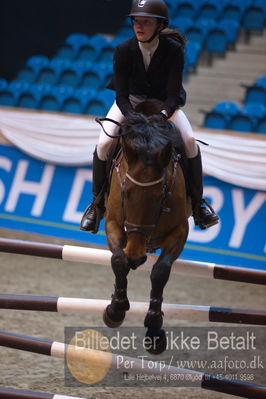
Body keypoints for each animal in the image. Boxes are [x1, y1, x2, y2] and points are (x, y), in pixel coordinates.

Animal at [98, 103, 190, 356]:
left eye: (161, 195)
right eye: (126, 192)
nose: (136, 255)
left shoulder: (180, 230)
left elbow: (160, 272)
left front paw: (155, 329)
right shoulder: (113, 222)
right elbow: (118, 260)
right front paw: (115, 310)